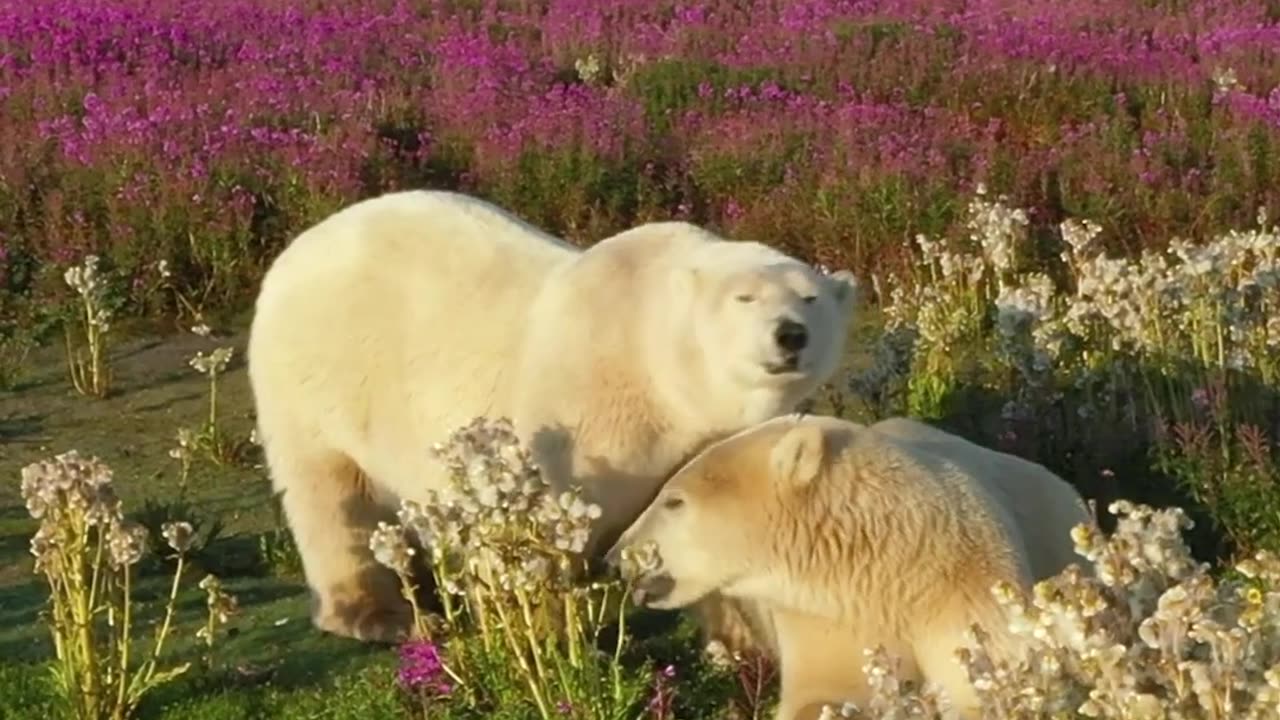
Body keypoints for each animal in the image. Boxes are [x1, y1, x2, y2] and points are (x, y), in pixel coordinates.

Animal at [247, 189, 860, 638]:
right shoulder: (581, 412)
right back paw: (379, 614)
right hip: (315, 378)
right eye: (744, 298)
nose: (790, 335)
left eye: (810, 298)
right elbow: (532, 524)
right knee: (330, 495)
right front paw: (536, 628)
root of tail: (296, 248)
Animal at [606, 412, 1090, 712]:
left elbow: (985, 674)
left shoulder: (960, 583)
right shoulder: (823, 612)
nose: (616, 557)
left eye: (673, 501)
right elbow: (826, 688)